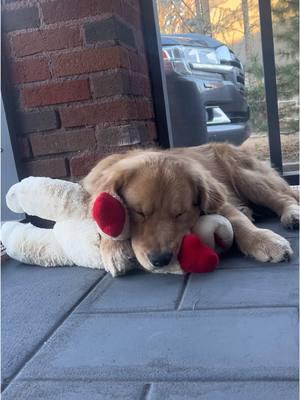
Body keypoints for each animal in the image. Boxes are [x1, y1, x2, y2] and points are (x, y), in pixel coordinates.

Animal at [82, 143, 298, 276]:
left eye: (180, 214)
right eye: (138, 212)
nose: (160, 260)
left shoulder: (218, 200)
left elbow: (238, 222)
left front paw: (265, 241)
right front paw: (114, 249)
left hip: (245, 176)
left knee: (283, 197)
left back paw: (292, 214)